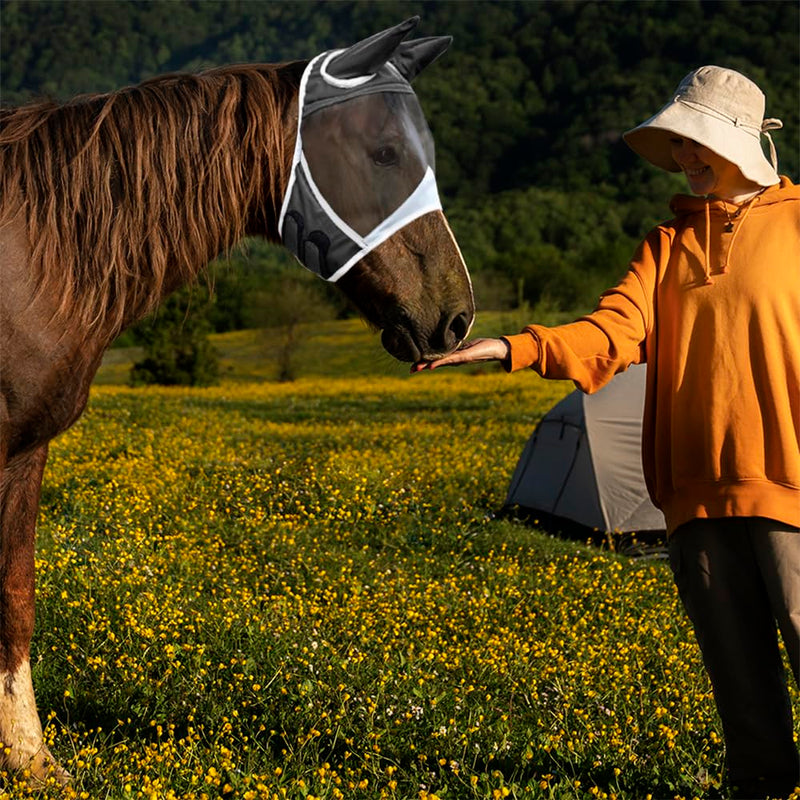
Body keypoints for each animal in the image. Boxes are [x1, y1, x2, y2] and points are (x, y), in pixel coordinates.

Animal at [0, 18, 474, 784]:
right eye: (386, 152)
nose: (457, 318)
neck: (34, 252)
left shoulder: (25, 451)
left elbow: (15, 598)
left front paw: (31, 760)